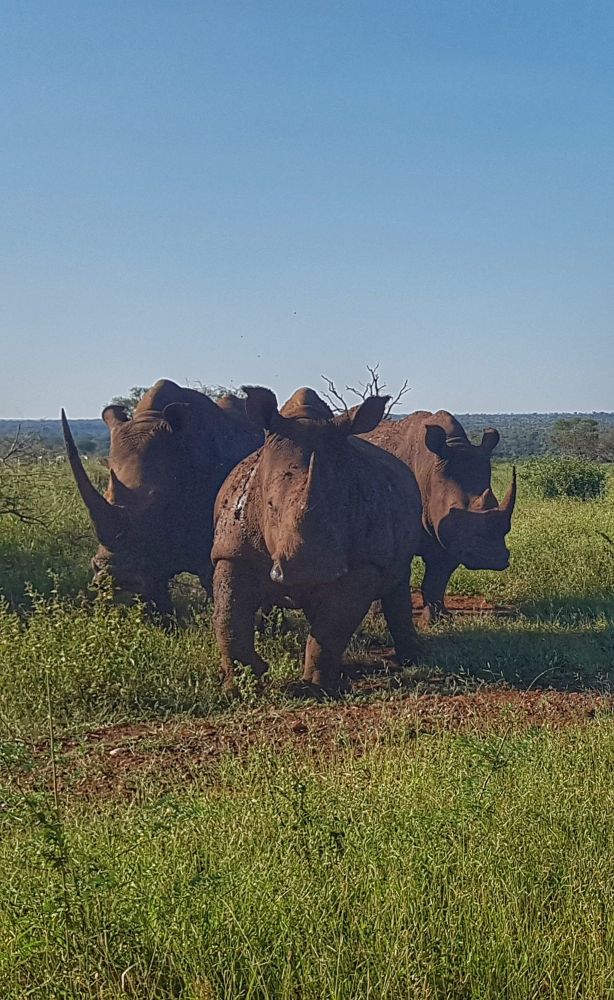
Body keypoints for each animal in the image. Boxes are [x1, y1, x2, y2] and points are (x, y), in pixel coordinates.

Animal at [211, 387, 423, 696]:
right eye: (270, 506)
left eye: (344, 506)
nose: (308, 571)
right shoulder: (233, 550)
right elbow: (228, 615)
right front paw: (240, 684)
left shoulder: (365, 564)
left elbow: (333, 625)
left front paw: (315, 688)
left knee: (397, 582)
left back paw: (410, 659)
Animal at [365, 410, 516, 623]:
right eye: (454, 510)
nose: (491, 559)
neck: (429, 470)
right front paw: (377, 618)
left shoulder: (451, 540)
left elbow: (436, 580)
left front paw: (438, 619)